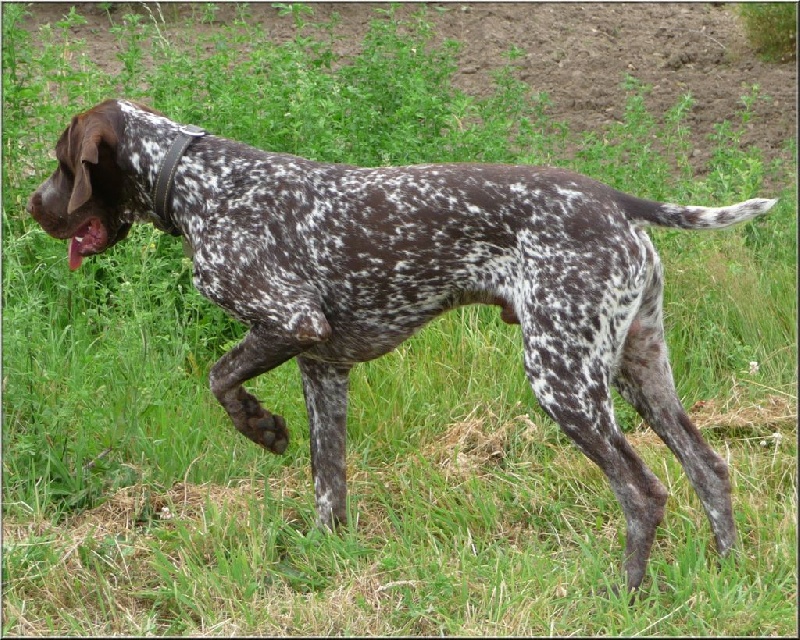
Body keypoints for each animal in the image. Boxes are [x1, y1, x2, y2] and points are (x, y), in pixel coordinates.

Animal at [28, 97, 780, 592]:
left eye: (62, 164)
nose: (33, 205)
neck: (194, 179)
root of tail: (618, 202)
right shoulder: (322, 366)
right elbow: (327, 484)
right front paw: (322, 561)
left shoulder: (293, 322)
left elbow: (219, 378)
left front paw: (262, 428)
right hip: (639, 371)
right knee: (710, 469)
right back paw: (728, 574)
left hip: (562, 378)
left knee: (643, 490)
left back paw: (626, 594)